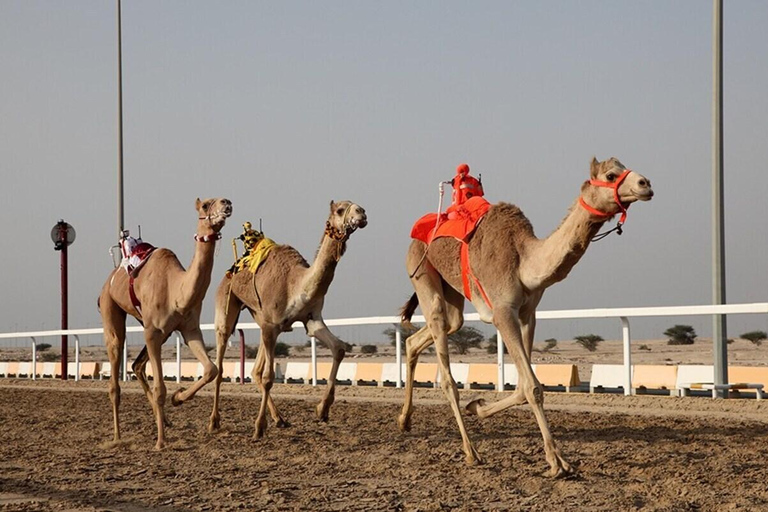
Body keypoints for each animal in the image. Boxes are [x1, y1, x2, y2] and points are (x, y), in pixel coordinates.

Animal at [99, 196, 231, 448]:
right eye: (205, 205)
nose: (227, 203)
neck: (175, 291)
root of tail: (109, 279)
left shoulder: (190, 329)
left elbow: (211, 369)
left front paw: (178, 397)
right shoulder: (152, 331)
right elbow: (160, 387)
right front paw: (160, 442)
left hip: (159, 330)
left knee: (137, 365)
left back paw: (165, 421)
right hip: (111, 309)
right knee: (115, 367)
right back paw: (117, 436)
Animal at [396, 157, 656, 476]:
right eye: (610, 174)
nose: (646, 184)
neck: (524, 260)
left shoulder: (527, 314)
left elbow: (523, 386)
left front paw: (477, 406)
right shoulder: (502, 312)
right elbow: (532, 386)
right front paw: (558, 462)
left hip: (452, 292)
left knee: (433, 331)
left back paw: (404, 420)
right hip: (420, 270)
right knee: (444, 366)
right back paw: (471, 452)